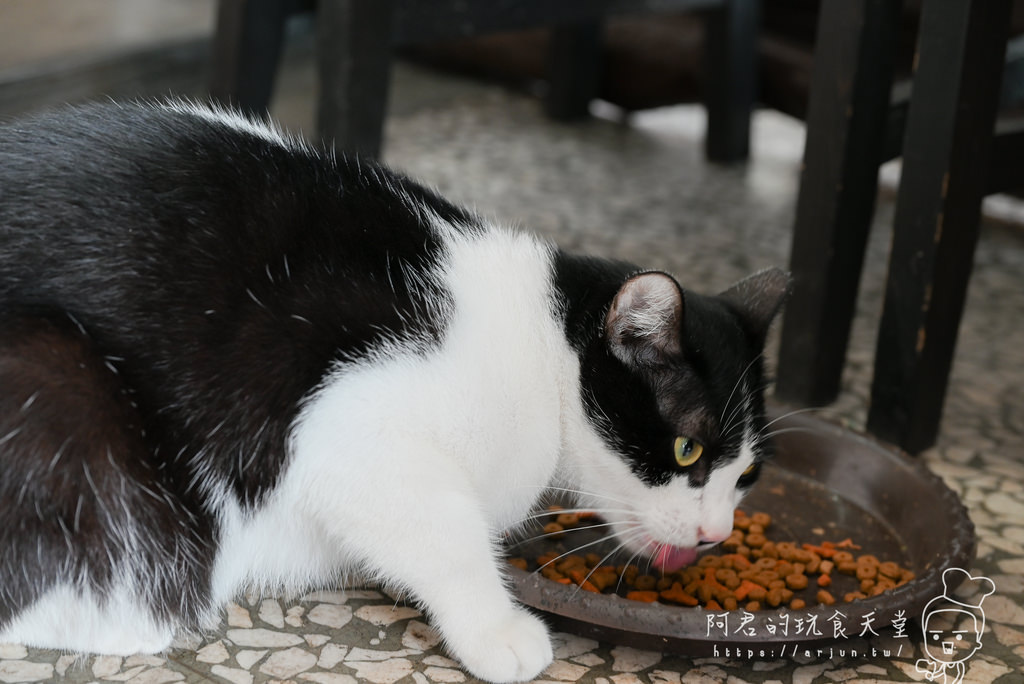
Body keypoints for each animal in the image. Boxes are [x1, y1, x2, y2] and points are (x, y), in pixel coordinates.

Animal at [0, 101, 786, 684]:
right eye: (687, 449)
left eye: (746, 474)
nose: (716, 533)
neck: (542, 350)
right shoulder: (346, 425)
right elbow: (447, 530)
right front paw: (496, 628)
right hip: (63, 386)